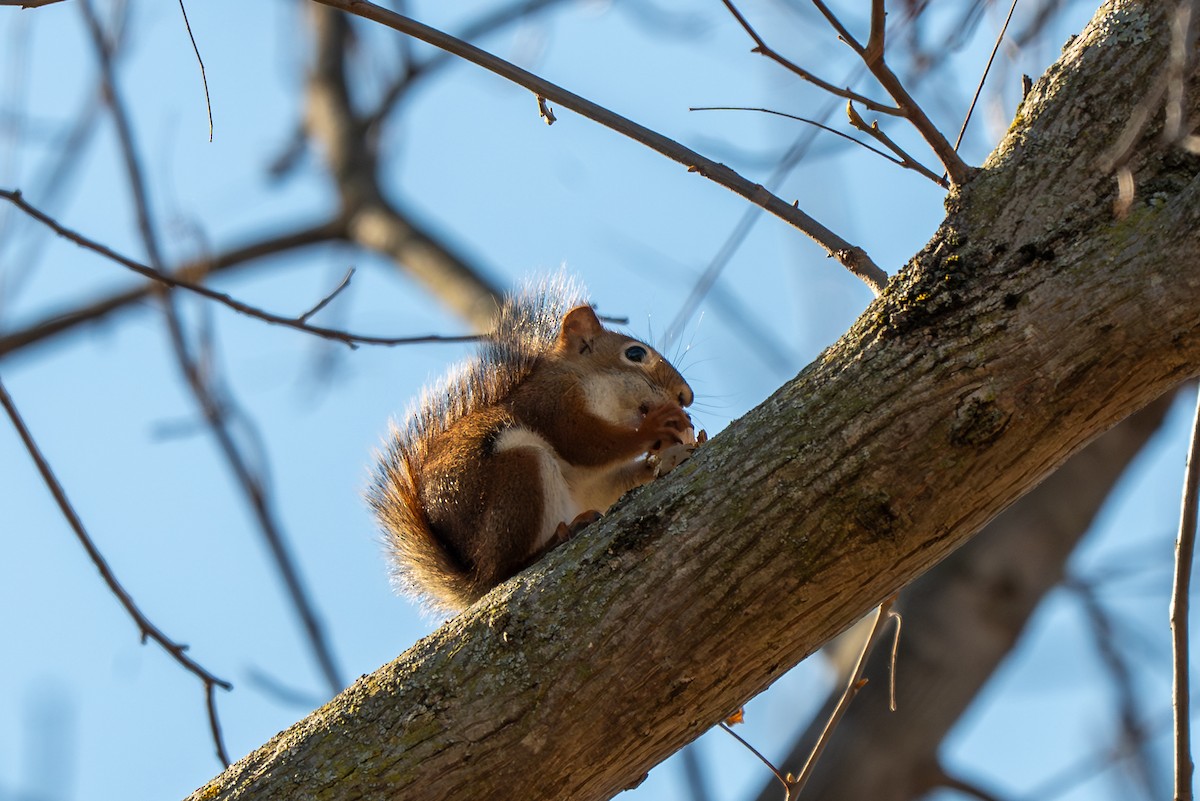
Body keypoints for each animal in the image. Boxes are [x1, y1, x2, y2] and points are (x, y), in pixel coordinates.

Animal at [369, 277, 699, 613]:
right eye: (634, 354)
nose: (686, 396)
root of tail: (473, 576)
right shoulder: (552, 405)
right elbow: (588, 444)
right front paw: (654, 427)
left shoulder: (596, 483)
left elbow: (614, 481)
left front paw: (669, 454)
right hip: (519, 472)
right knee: (502, 571)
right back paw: (554, 541)